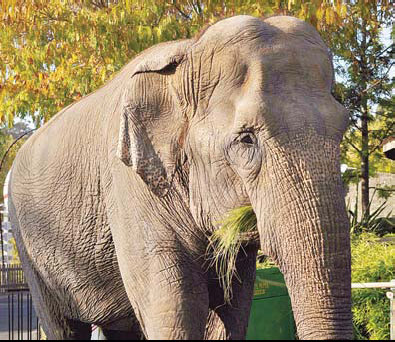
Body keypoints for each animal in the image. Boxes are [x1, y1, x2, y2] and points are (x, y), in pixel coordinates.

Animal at [8, 14, 352, 340]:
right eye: (246, 139)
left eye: (343, 129)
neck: (188, 52)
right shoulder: (130, 186)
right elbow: (177, 307)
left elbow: (232, 310)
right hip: (30, 250)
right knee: (62, 326)